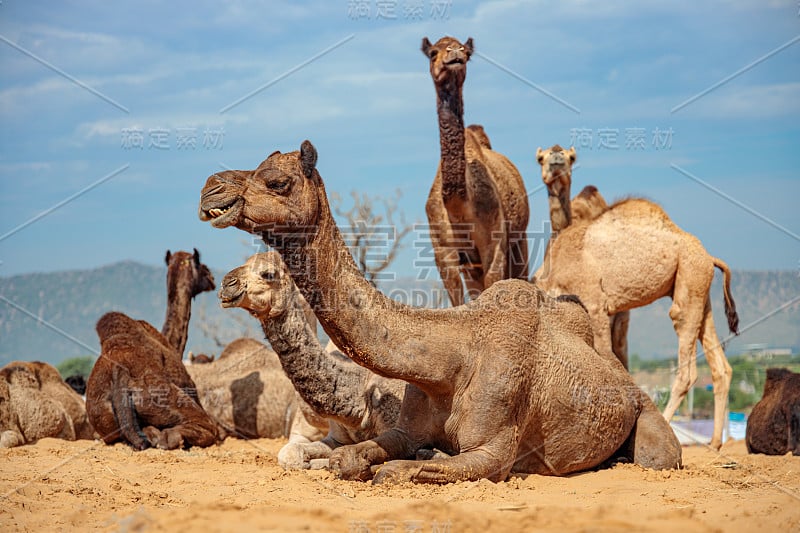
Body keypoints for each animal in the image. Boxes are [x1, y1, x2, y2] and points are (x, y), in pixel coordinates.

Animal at [422, 36, 528, 308]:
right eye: (433, 52)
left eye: (467, 52)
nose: (455, 52)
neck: (459, 204)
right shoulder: (444, 253)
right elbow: (458, 300)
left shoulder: (494, 244)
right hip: (472, 266)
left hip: (519, 240)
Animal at [536, 144, 740, 448]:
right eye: (541, 157)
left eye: (571, 158)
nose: (557, 161)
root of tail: (709, 255)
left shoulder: (596, 304)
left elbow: (606, 355)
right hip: (699, 289)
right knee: (721, 367)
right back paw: (715, 442)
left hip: (690, 275)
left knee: (687, 367)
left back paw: (667, 427)